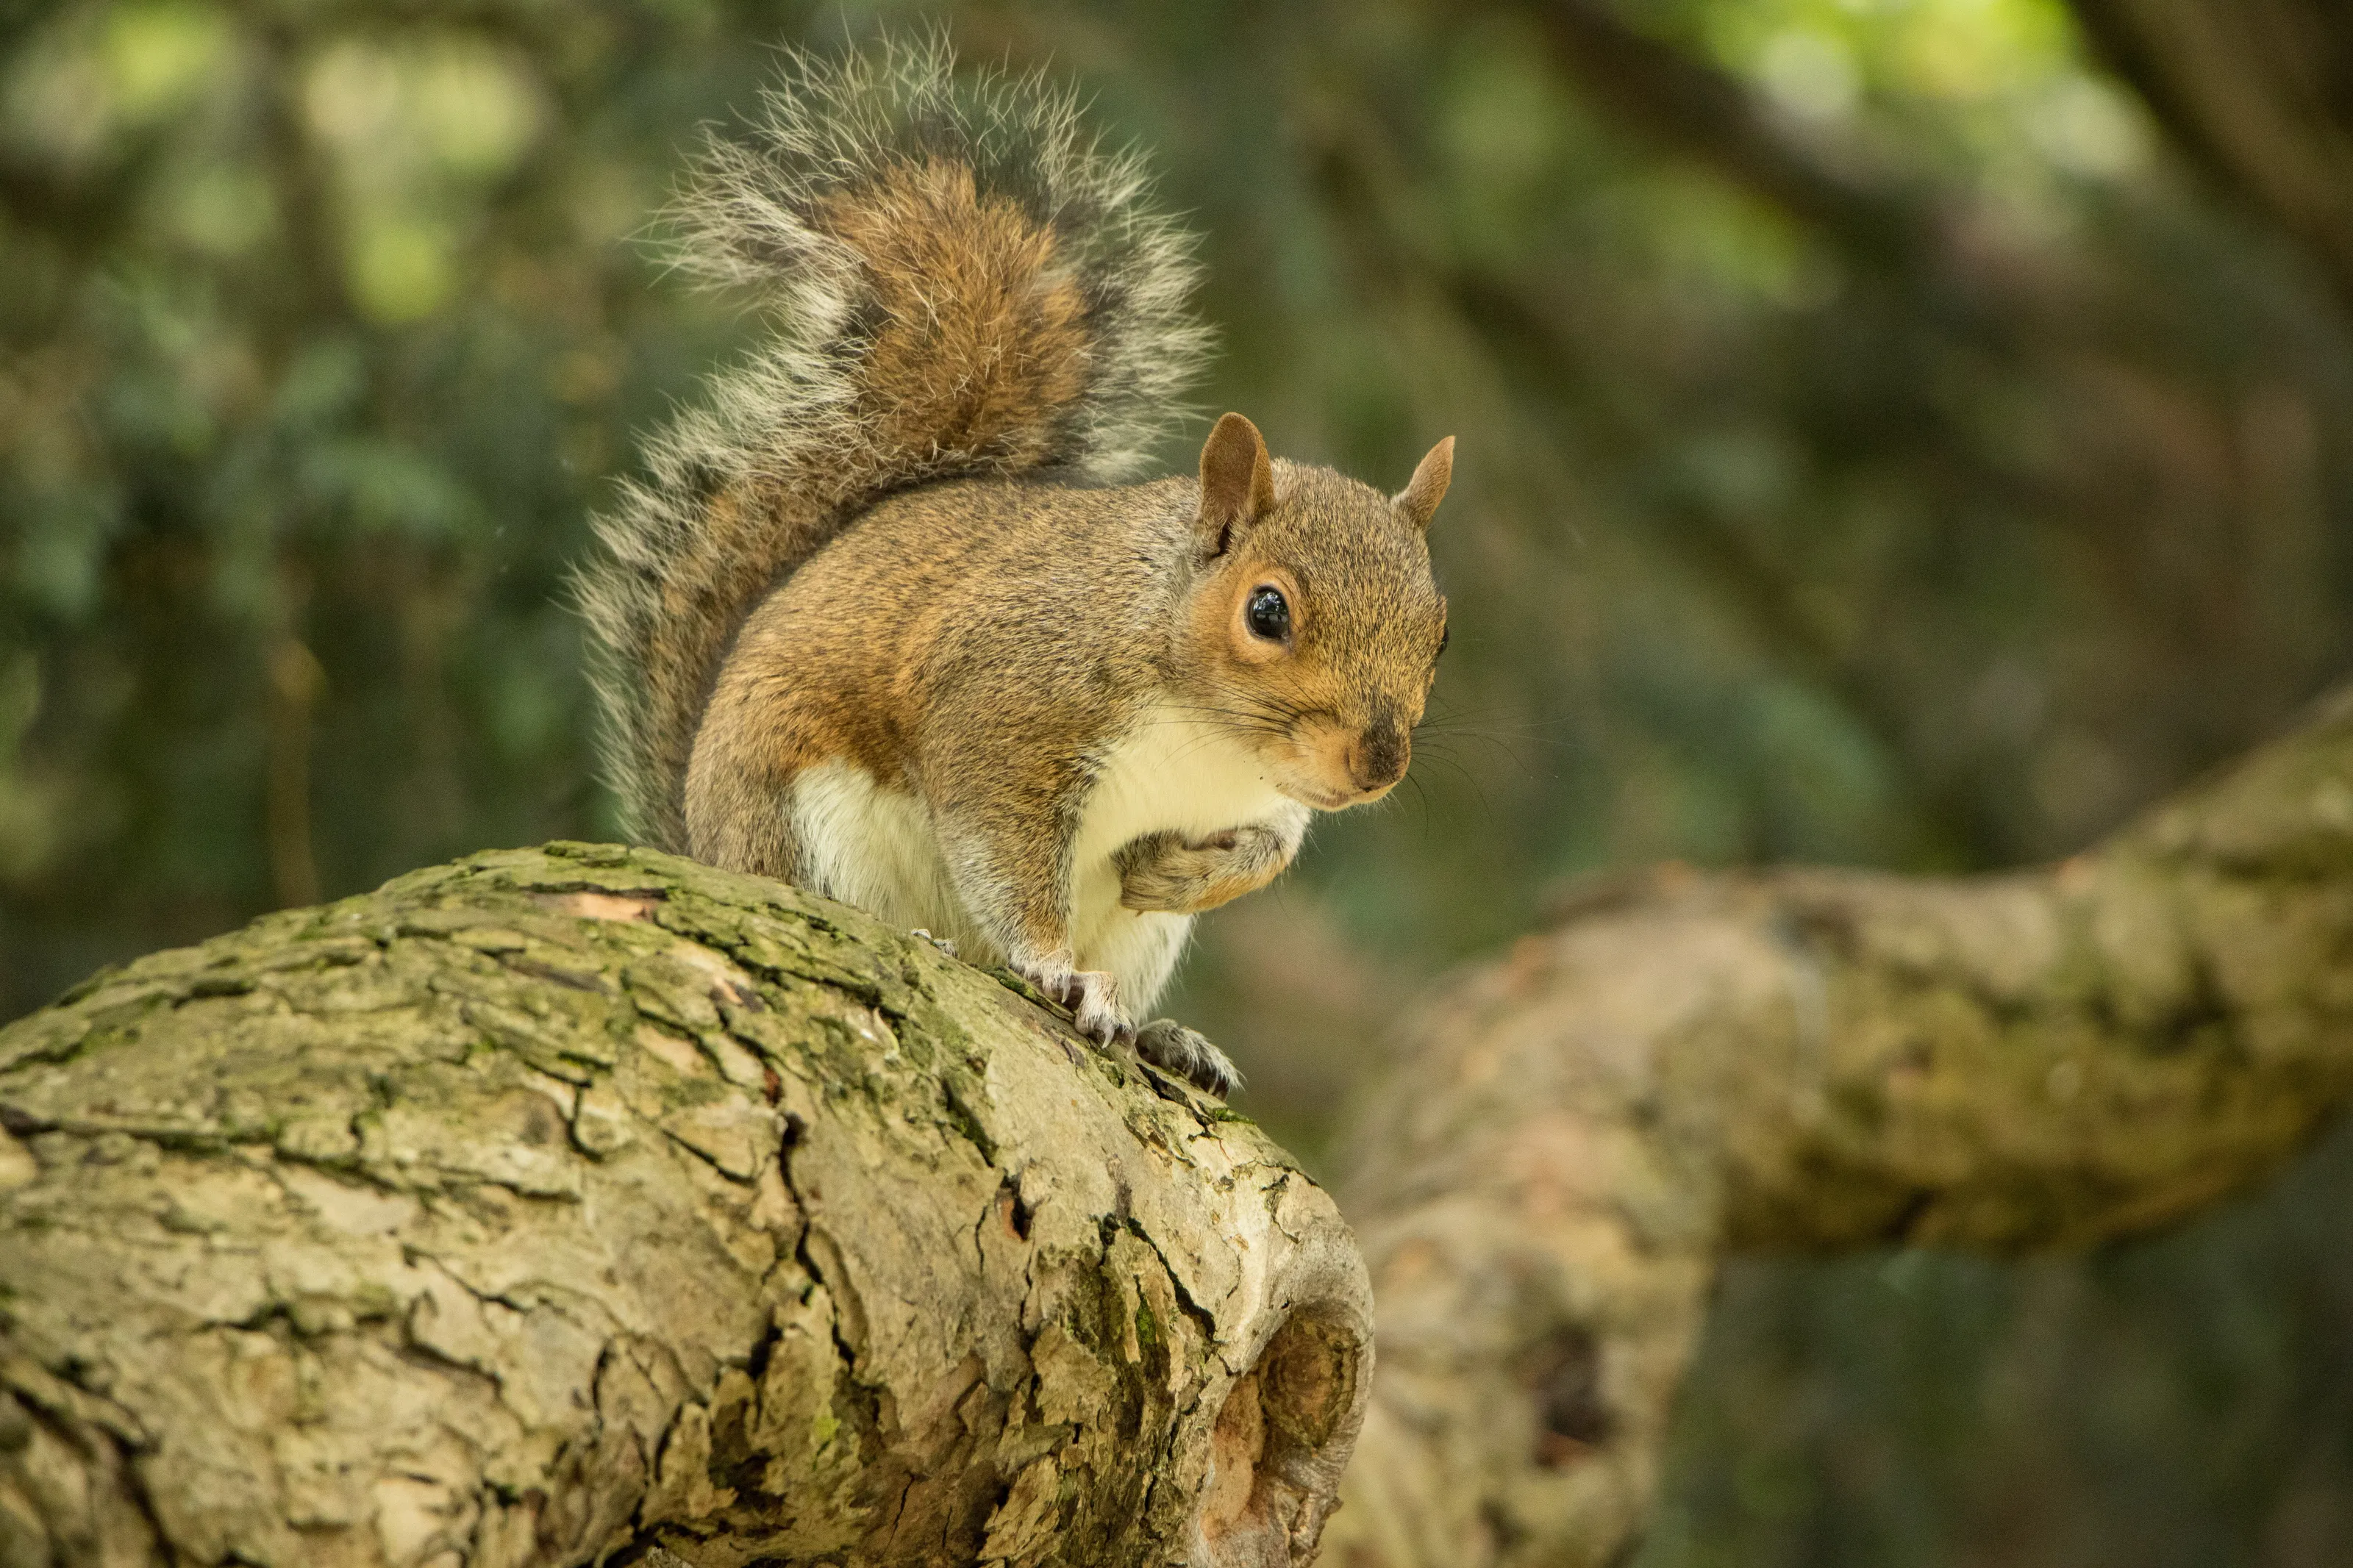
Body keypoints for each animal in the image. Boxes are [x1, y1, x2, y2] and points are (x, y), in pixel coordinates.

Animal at [575, 39, 1451, 1095]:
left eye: (1442, 634)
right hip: (801, 823)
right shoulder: (1005, 705)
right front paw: (1052, 964)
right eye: (1267, 612)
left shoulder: (1271, 799)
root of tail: (704, 847)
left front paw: (1187, 875)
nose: (1377, 765)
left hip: (1142, 941)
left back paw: (1170, 1037)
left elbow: (1270, 853)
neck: (1210, 741)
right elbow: (1005, 853)